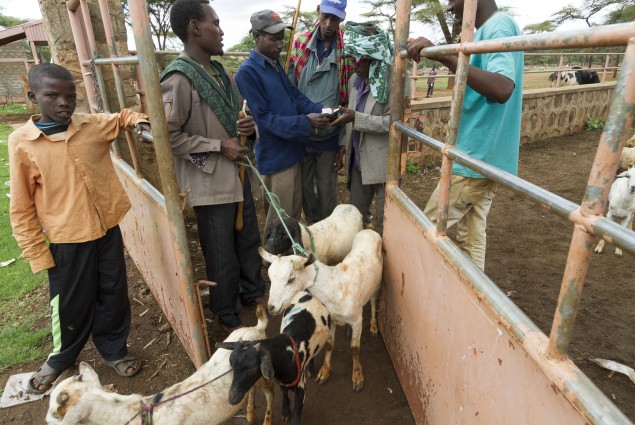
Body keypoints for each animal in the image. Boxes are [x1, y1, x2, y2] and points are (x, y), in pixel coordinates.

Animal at [44, 306, 274, 422]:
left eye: (55, 415)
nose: (45, 420)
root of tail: (257, 327)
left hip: (265, 375)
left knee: (270, 394)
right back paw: (249, 413)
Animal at [217, 290, 330, 424]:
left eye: (252, 369)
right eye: (232, 365)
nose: (232, 398)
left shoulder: (301, 388)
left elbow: (297, 415)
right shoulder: (282, 382)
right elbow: (284, 394)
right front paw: (285, 411)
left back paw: (311, 370)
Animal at [260, 229, 382, 390]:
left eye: (291, 279)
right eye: (269, 277)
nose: (271, 307)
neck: (336, 286)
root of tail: (369, 230)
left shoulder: (357, 320)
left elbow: (354, 348)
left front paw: (357, 377)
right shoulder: (332, 317)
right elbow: (329, 344)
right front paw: (324, 372)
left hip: (377, 283)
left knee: (374, 301)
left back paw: (374, 326)